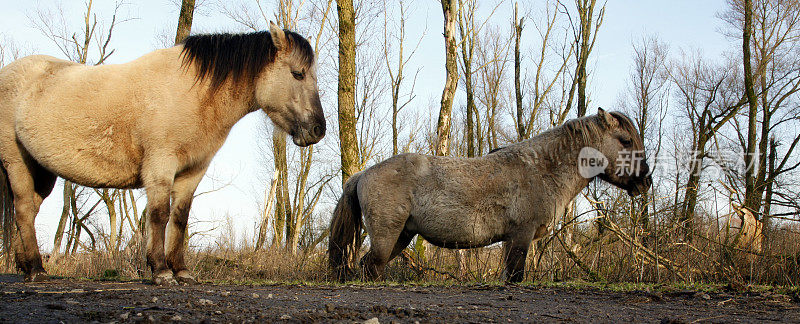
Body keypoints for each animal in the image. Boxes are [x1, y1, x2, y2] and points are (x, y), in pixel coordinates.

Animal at [0, 22, 324, 284]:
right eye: (297, 74)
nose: (317, 129)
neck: (194, 93)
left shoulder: (193, 171)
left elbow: (179, 218)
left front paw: (181, 270)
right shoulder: (160, 166)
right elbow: (158, 215)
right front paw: (160, 271)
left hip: (42, 173)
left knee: (27, 211)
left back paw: (26, 266)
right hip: (17, 163)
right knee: (24, 210)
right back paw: (36, 270)